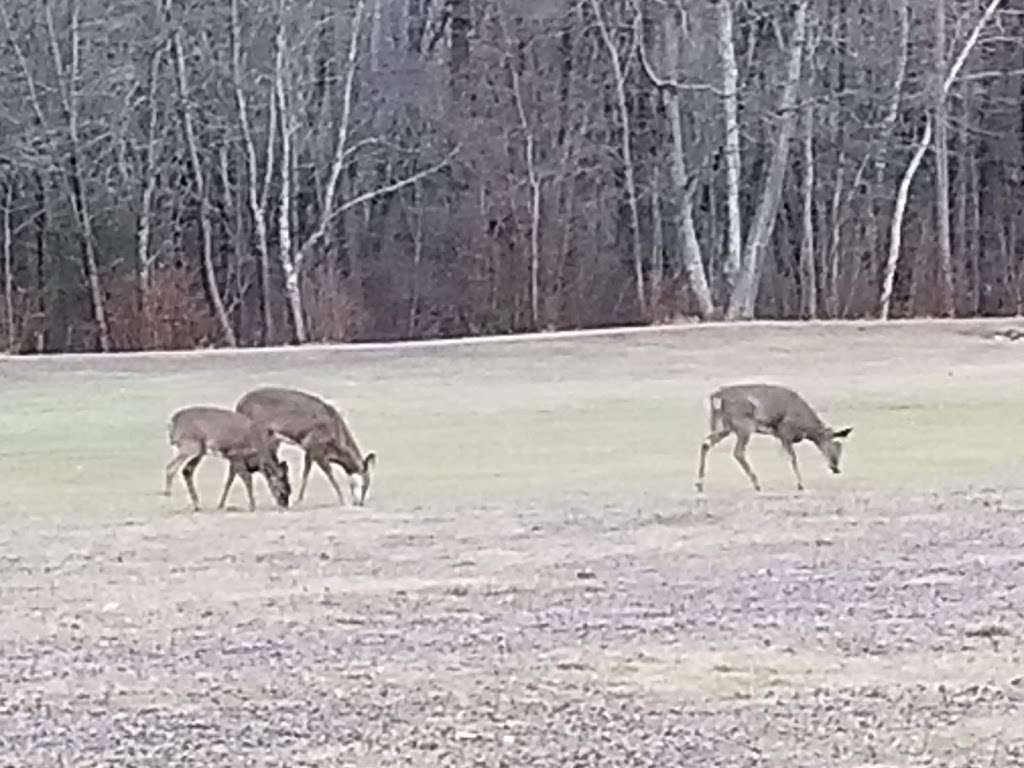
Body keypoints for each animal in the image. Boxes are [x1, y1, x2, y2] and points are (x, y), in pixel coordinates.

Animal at [234, 387, 376, 507]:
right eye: (365, 484)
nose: (360, 503)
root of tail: (240, 404)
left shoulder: (309, 452)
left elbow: (306, 472)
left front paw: (299, 499)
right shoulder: (317, 451)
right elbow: (328, 473)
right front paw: (342, 499)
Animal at [692, 382, 851, 493]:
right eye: (837, 445)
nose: (836, 468)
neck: (806, 427)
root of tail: (716, 397)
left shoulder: (781, 435)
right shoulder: (784, 431)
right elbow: (792, 457)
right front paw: (800, 485)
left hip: (722, 426)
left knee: (706, 444)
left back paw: (699, 484)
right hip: (744, 426)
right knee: (738, 452)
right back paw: (757, 484)